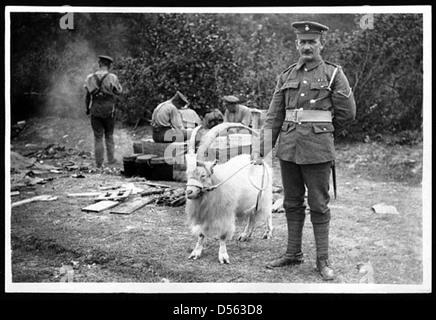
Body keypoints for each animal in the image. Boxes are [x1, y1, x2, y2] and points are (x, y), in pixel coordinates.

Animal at [184, 122, 272, 262]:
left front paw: (223, 256)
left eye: (203, 175)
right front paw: (196, 253)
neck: (217, 181)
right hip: (252, 200)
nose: (189, 192)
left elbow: (223, 235)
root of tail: (259, 162)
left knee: (268, 213)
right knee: (252, 216)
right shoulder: (205, 214)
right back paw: (245, 235)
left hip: (265, 195)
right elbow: (201, 234)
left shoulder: (225, 213)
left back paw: (267, 233)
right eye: (188, 174)